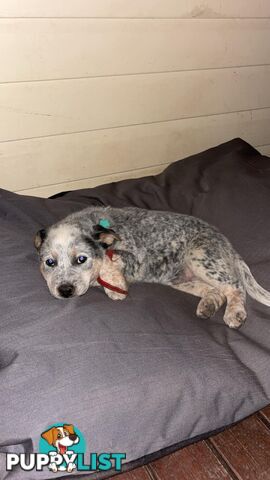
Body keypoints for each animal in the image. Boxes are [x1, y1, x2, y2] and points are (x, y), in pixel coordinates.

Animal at [34, 204, 270, 328]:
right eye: (49, 262)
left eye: (81, 259)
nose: (65, 290)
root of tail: (226, 244)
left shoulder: (132, 257)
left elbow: (107, 263)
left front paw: (115, 288)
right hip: (181, 279)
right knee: (217, 291)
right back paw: (208, 306)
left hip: (200, 257)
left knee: (235, 286)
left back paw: (235, 313)